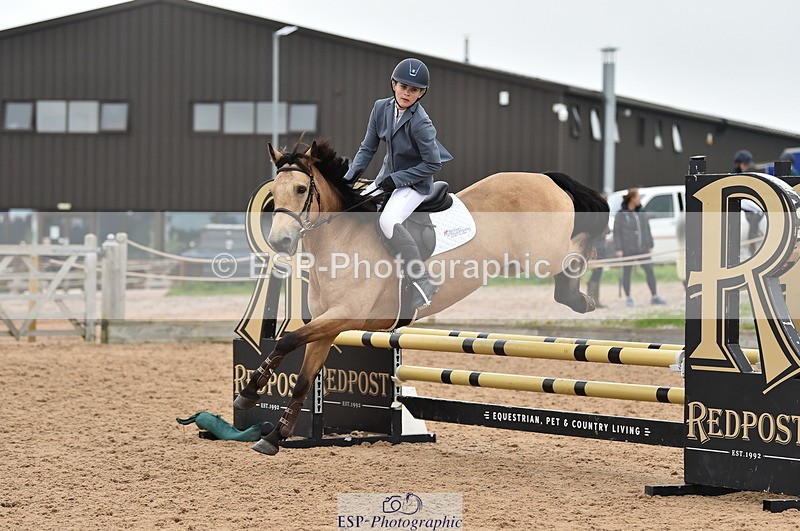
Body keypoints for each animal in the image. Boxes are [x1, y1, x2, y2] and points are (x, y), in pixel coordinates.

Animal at [234, 140, 609, 455]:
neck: (341, 238)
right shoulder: (327, 326)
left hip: (542, 254)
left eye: (301, 189)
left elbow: (286, 340)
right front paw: (273, 435)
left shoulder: (346, 315)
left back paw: (582, 295)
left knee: (577, 252)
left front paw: (249, 394)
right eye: (275, 193)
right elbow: (302, 379)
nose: (280, 242)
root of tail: (545, 178)